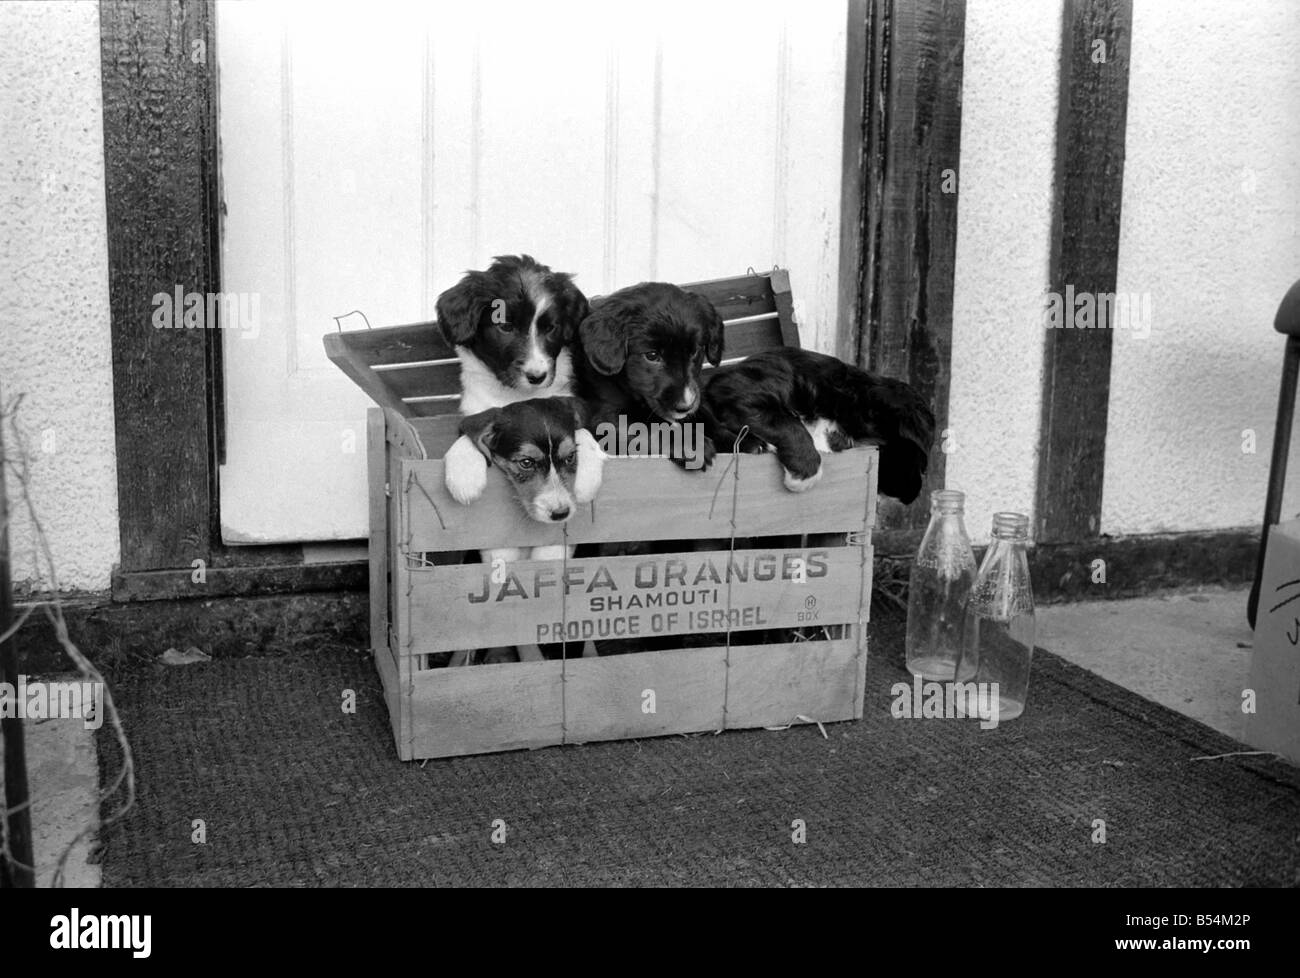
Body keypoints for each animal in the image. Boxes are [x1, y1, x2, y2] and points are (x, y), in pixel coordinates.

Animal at [577, 282, 728, 470]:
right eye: (652, 355)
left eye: (694, 352)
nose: (685, 406)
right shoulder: (606, 417)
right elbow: (651, 428)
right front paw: (693, 445)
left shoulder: (697, 392)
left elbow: (707, 417)